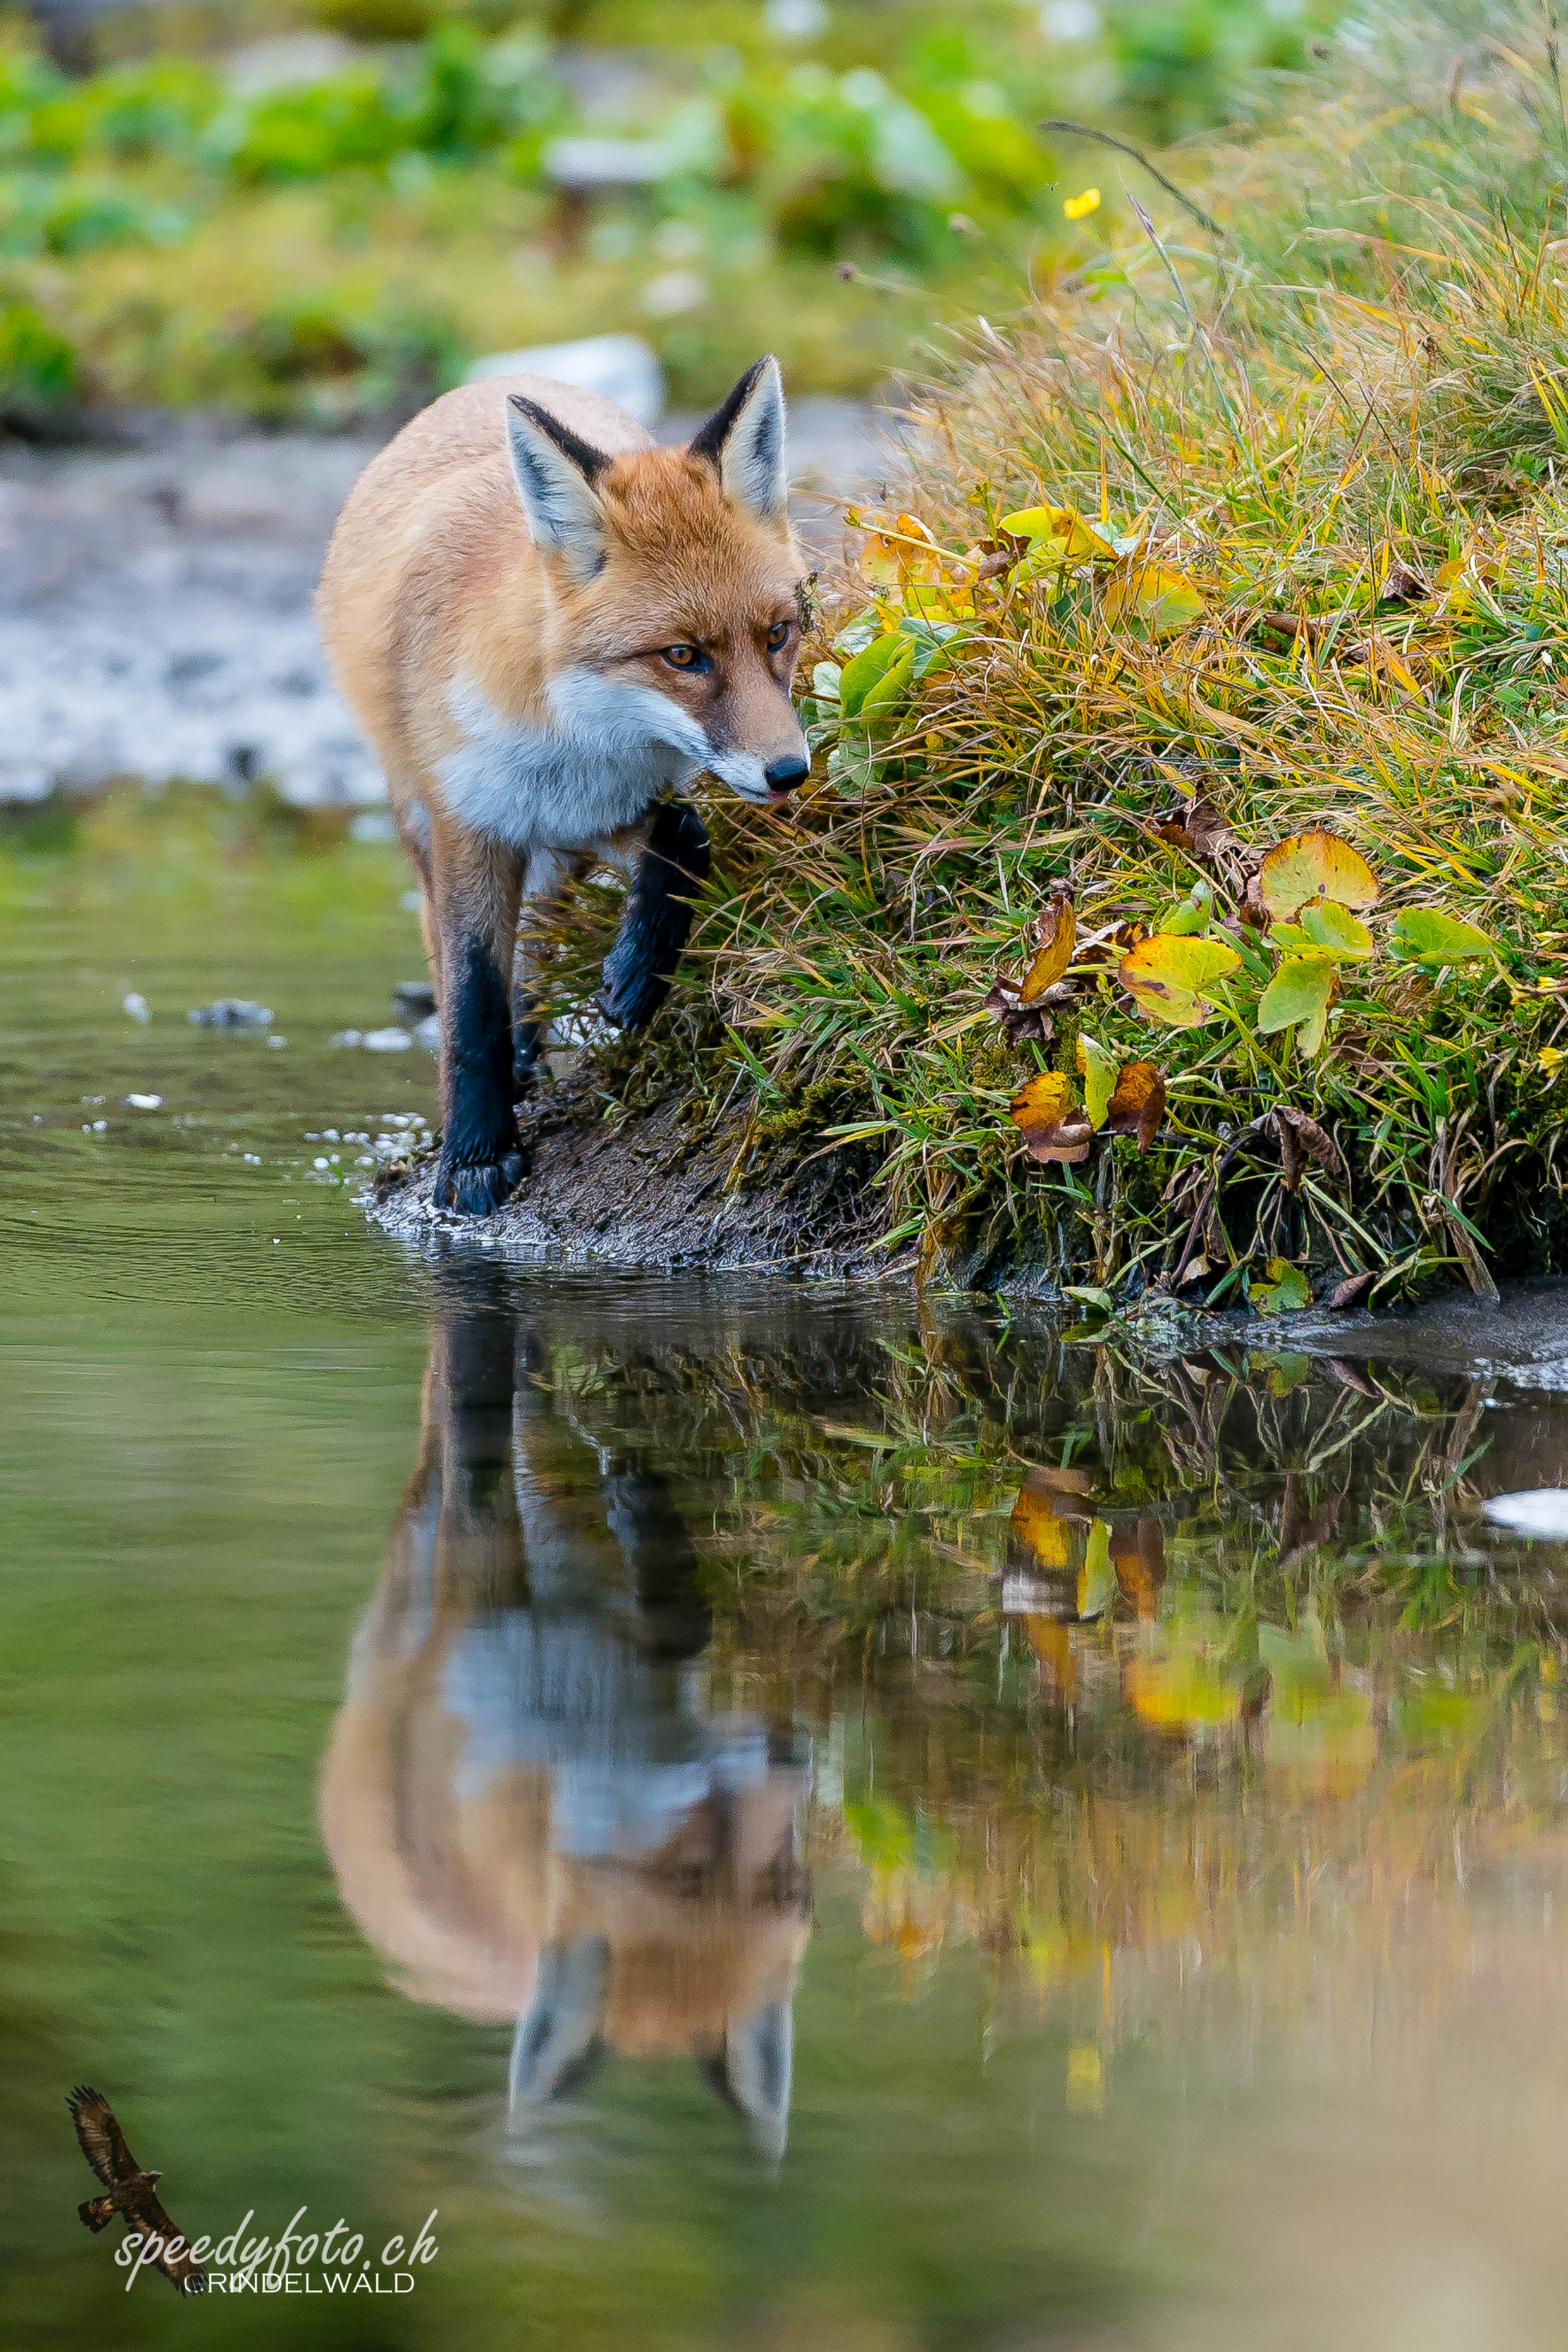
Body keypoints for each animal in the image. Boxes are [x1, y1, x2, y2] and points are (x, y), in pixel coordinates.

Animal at [319, 362, 809, 1232]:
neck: (570, 739)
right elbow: (470, 1001)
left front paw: (638, 972)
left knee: (537, 950)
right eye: (681, 656)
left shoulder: (607, 809)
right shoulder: (471, 826)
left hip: (556, 857)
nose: (788, 773)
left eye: (778, 634)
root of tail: (502, 378)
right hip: (422, 819)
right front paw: (474, 1156)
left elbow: (686, 836)